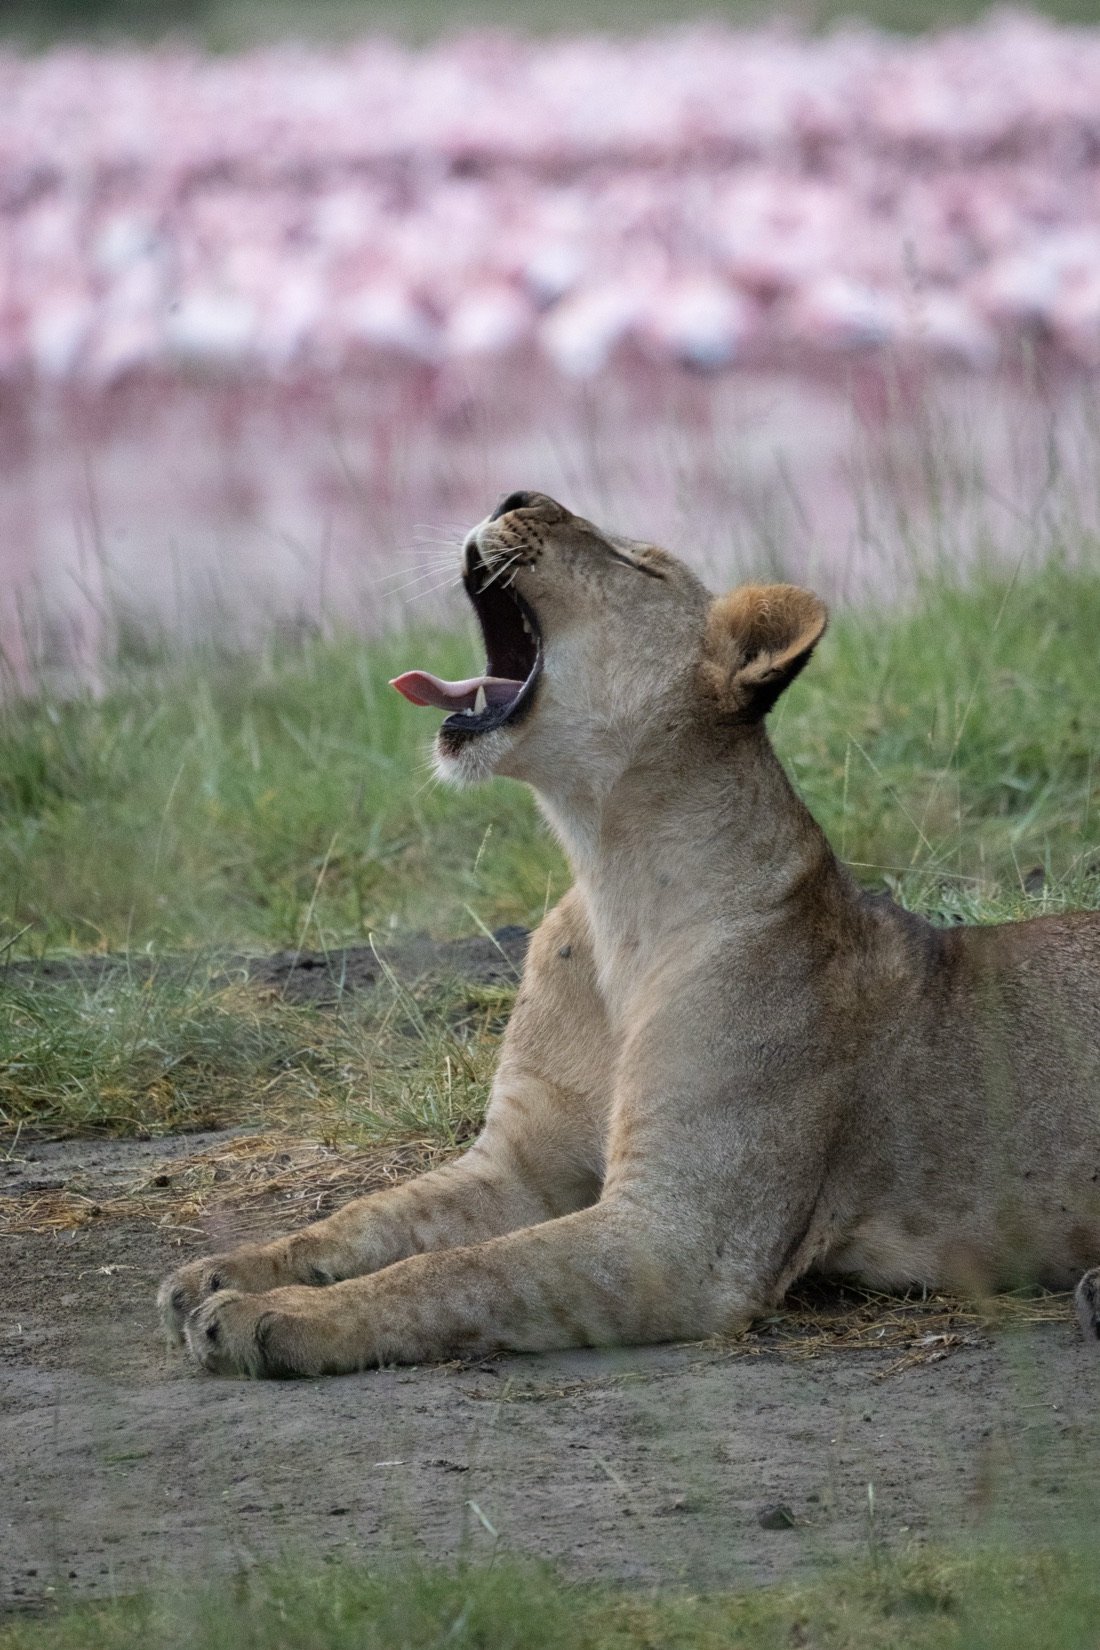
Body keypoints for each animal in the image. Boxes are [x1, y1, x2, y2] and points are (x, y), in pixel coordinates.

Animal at [159, 490, 1100, 1377]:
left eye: (636, 563)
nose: (513, 496)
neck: (610, 878)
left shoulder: (681, 1236)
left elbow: (461, 1272)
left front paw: (268, 1317)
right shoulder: (518, 1166)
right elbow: (368, 1219)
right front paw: (224, 1271)